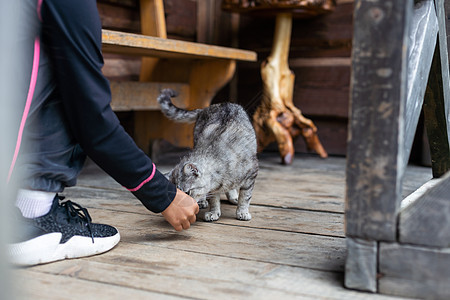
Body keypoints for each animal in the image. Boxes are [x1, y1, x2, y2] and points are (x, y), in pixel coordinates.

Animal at [158, 88, 258, 221]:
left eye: (188, 192)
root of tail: (206, 108)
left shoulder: (251, 173)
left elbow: (245, 196)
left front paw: (242, 211)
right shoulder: (214, 186)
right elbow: (214, 199)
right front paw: (214, 212)